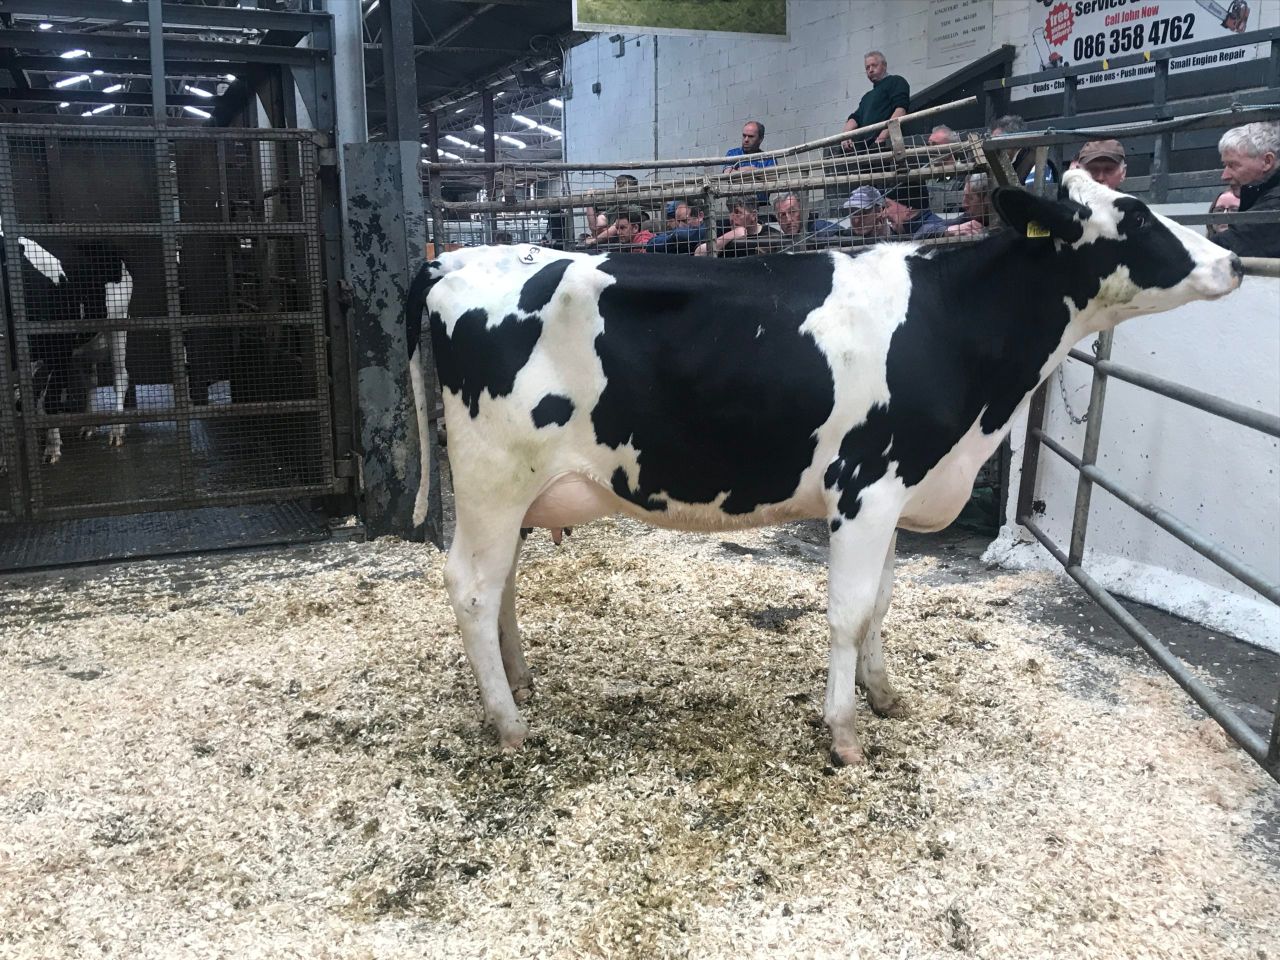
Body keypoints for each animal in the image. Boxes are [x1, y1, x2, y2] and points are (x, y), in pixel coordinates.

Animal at [404, 171, 1243, 765]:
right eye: (1136, 216)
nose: (1234, 259)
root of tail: (454, 260)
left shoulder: (901, 487)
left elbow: (882, 604)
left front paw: (885, 693)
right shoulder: (865, 487)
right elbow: (847, 611)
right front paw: (843, 731)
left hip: (516, 492)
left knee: (502, 583)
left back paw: (520, 681)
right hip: (491, 475)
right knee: (471, 587)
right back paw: (510, 723)